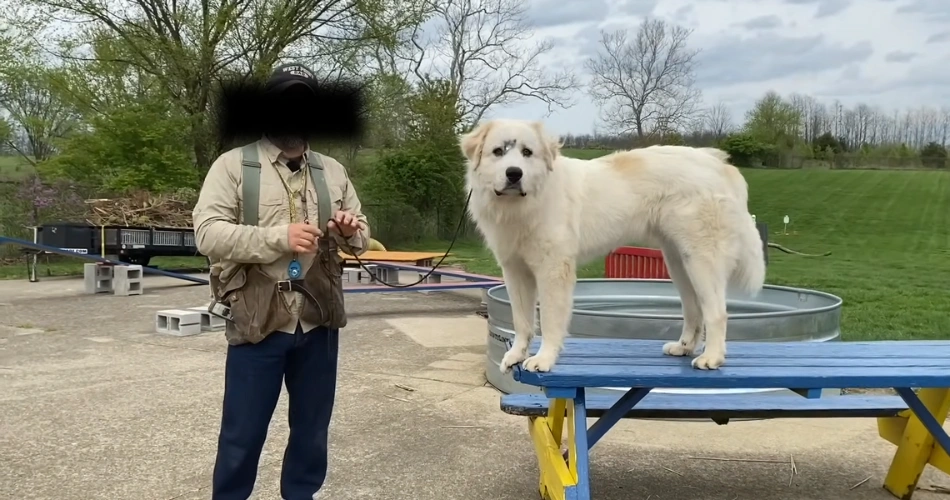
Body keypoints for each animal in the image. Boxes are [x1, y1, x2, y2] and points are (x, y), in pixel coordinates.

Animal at [460, 119, 768, 374]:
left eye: (527, 152)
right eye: (498, 152)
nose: (514, 173)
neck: (524, 204)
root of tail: (717, 163)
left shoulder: (553, 270)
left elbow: (548, 319)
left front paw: (544, 359)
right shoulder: (515, 270)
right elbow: (521, 320)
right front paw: (516, 355)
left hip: (702, 259)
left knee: (717, 312)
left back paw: (712, 358)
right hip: (679, 261)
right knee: (695, 309)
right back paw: (684, 347)